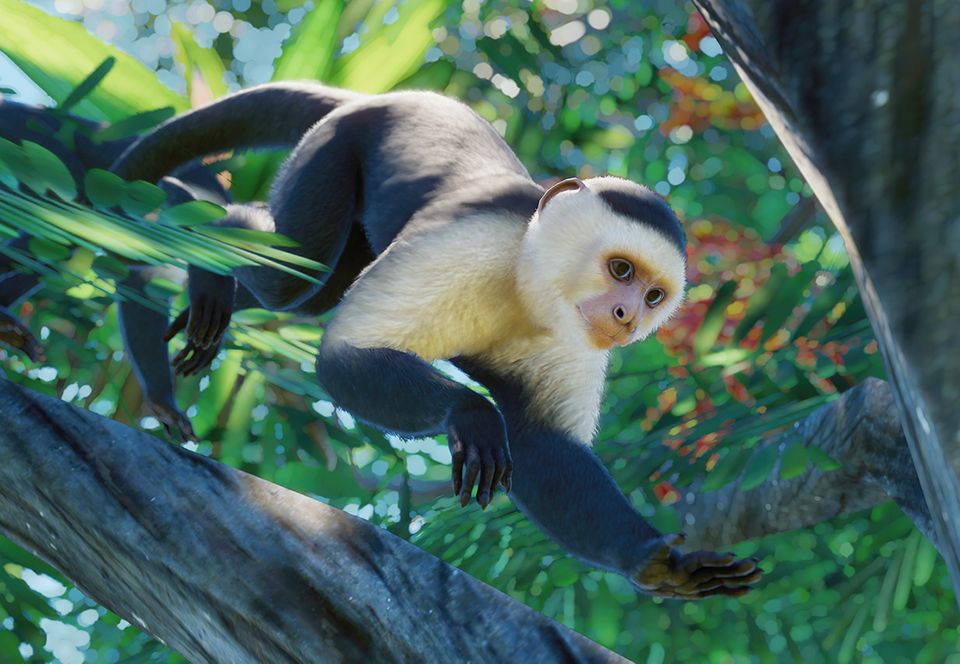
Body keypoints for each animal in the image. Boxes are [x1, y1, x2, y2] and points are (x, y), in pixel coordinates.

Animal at [109, 81, 760, 596]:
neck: (525, 284)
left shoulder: (575, 341)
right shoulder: (469, 244)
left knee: (314, 286)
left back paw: (185, 288)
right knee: (297, 276)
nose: (625, 316)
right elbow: (344, 357)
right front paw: (470, 412)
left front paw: (657, 563)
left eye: (653, 297)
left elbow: (542, 442)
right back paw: (200, 242)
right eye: (620, 270)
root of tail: (381, 96)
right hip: (333, 146)